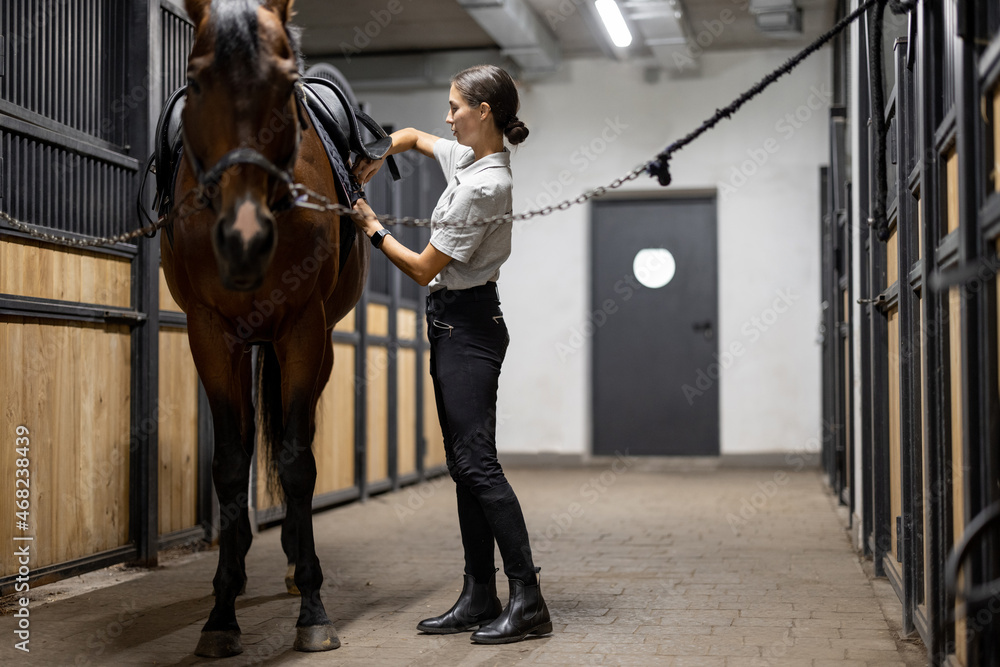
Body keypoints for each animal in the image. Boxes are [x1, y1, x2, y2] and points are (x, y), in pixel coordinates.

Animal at [162, 0, 370, 656]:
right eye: (197, 77)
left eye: (283, 84)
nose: (245, 239)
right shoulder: (209, 334)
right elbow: (231, 462)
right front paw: (221, 614)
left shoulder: (302, 330)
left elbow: (297, 461)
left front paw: (313, 609)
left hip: (313, 345)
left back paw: (294, 564)